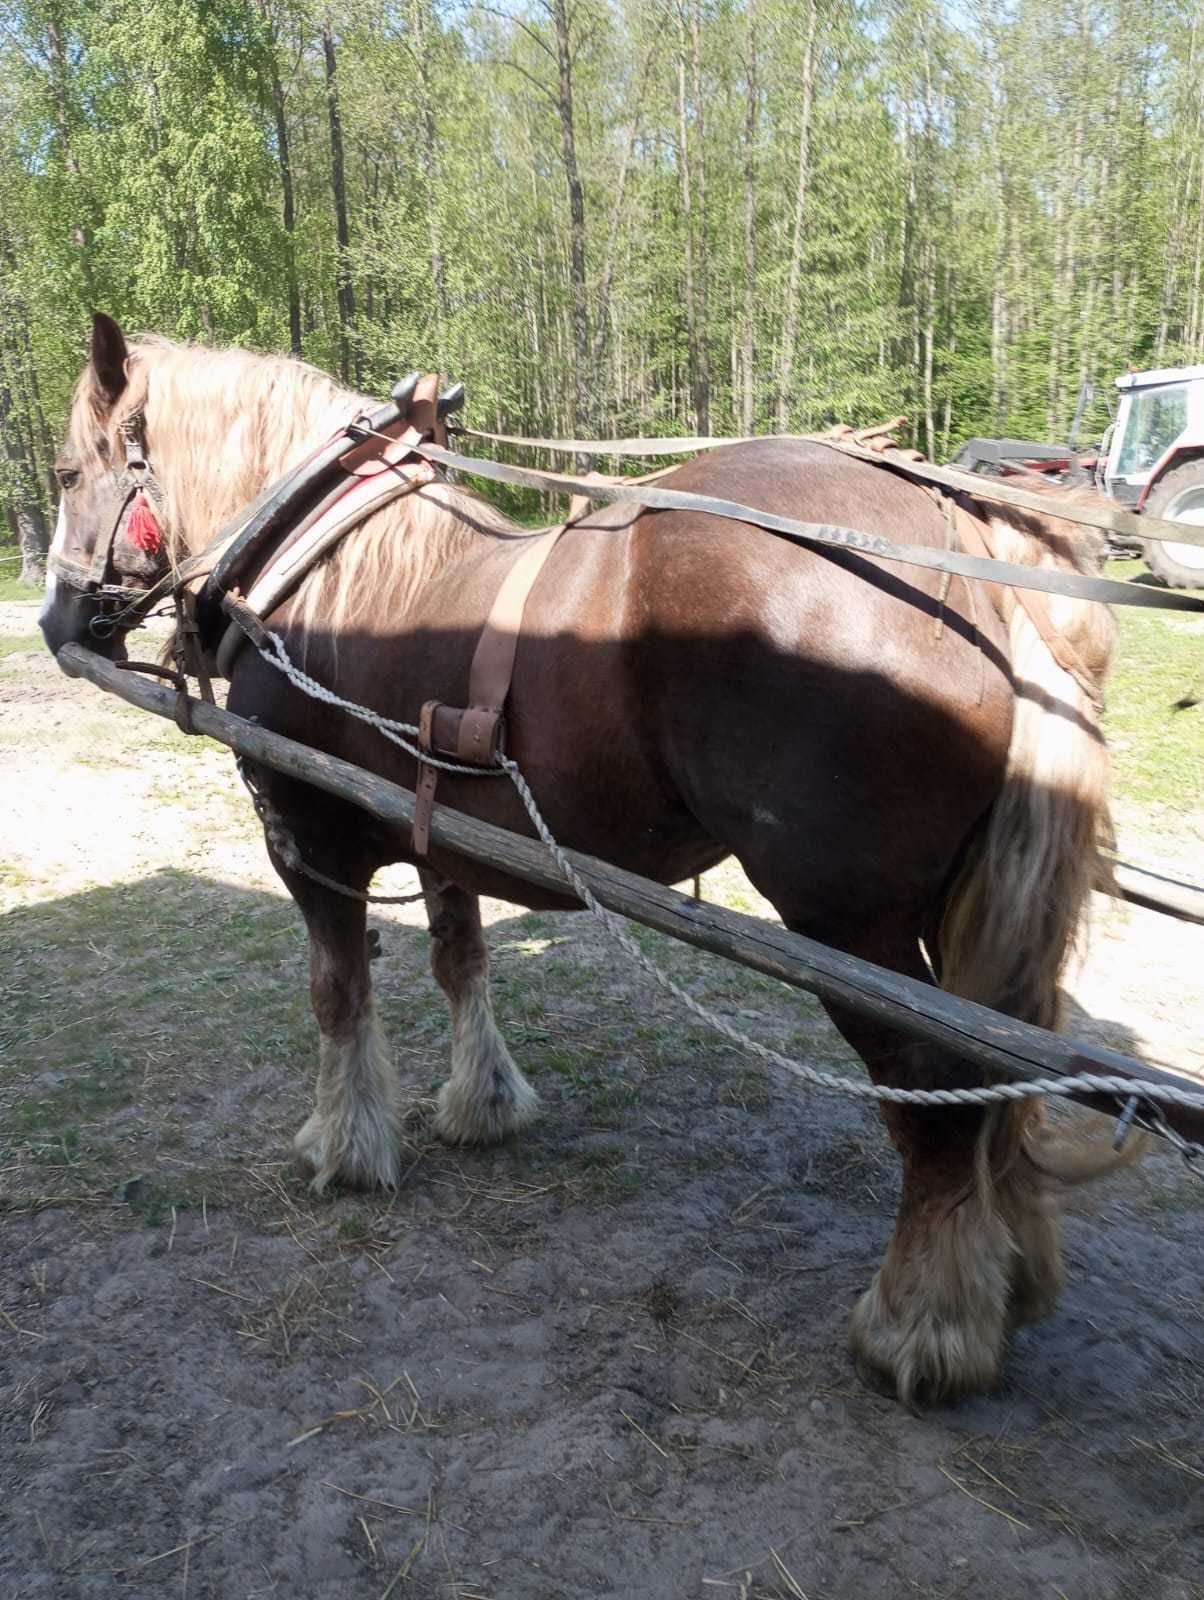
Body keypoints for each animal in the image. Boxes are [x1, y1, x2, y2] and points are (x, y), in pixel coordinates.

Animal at [44, 308, 1120, 1401]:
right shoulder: (442, 829)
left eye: (63, 471)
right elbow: (460, 961)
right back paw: (1008, 1273)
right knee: (999, 1072)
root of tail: (957, 531)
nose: (55, 620)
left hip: (849, 922)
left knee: (932, 1084)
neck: (322, 575)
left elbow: (338, 993)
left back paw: (922, 1323)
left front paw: (346, 1144)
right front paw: (483, 1102)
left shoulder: (309, 836)